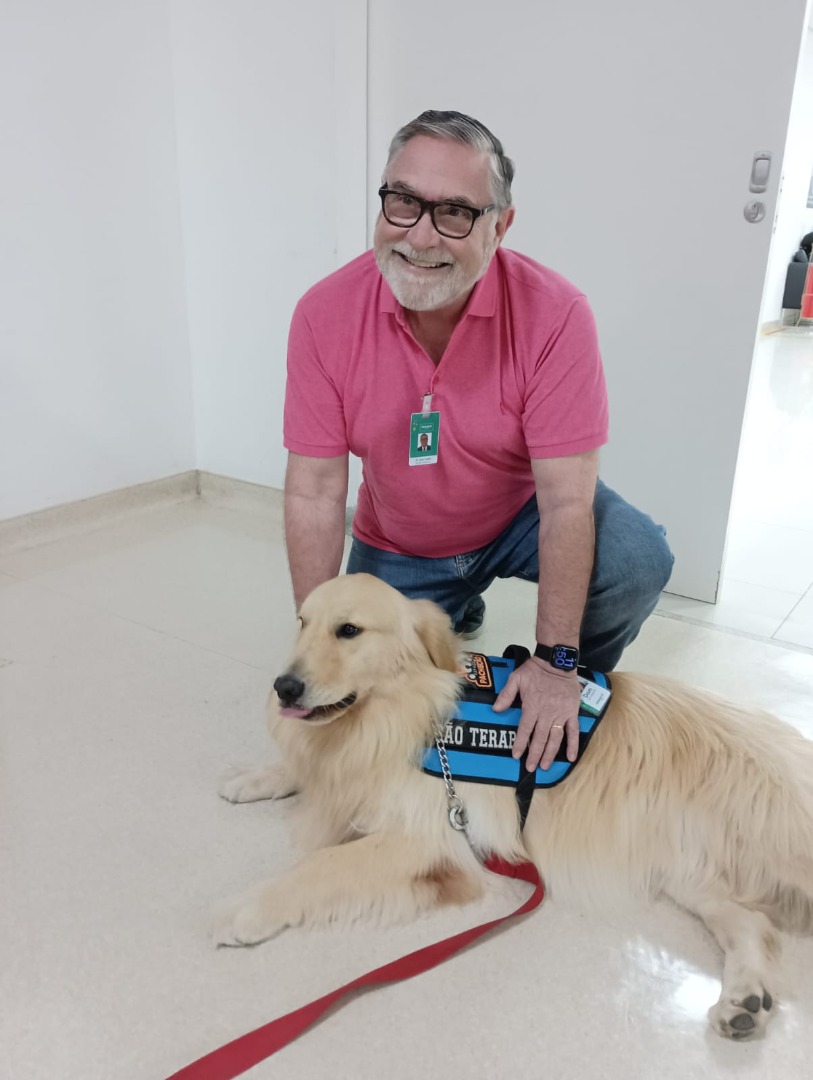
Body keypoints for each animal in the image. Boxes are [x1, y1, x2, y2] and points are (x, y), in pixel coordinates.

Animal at [215, 573, 813, 1040]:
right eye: (302, 622)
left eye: (349, 630)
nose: (284, 687)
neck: (404, 713)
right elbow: (301, 776)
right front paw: (253, 778)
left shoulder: (432, 839)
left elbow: (322, 865)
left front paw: (246, 910)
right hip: (687, 870)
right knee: (752, 924)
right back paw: (744, 1001)